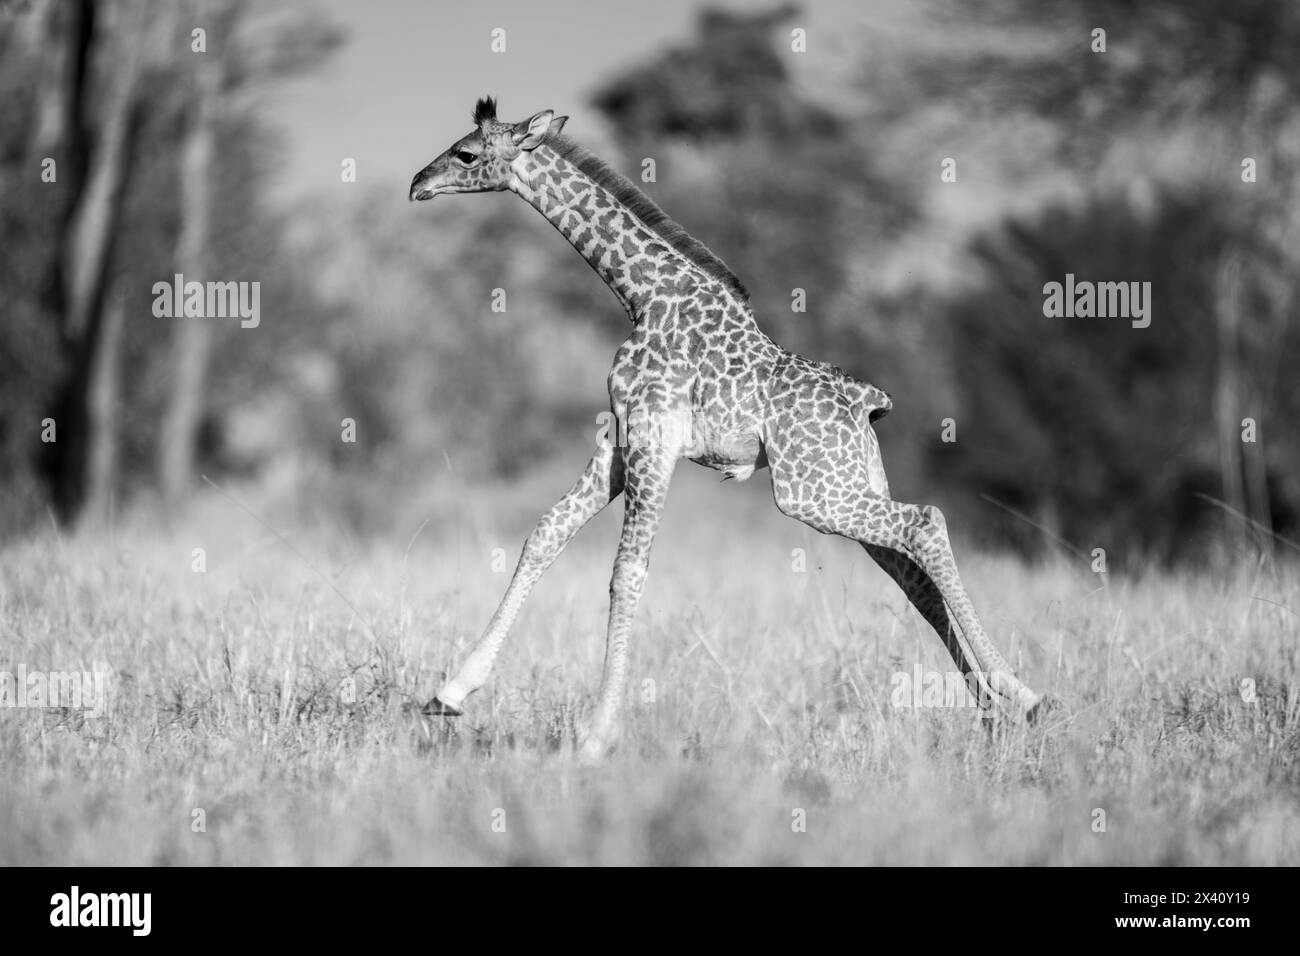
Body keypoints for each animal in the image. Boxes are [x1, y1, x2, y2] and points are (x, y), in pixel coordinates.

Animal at [408, 95, 1055, 754]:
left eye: (466, 153)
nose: (418, 185)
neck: (644, 294)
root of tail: (867, 401)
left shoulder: (654, 437)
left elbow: (626, 572)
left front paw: (595, 738)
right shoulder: (619, 438)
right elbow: (544, 533)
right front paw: (448, 694)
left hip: (808, 492)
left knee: (925, 522)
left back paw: (1024, 694)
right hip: (848, 479)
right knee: (915, 576)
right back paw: (991, 712)